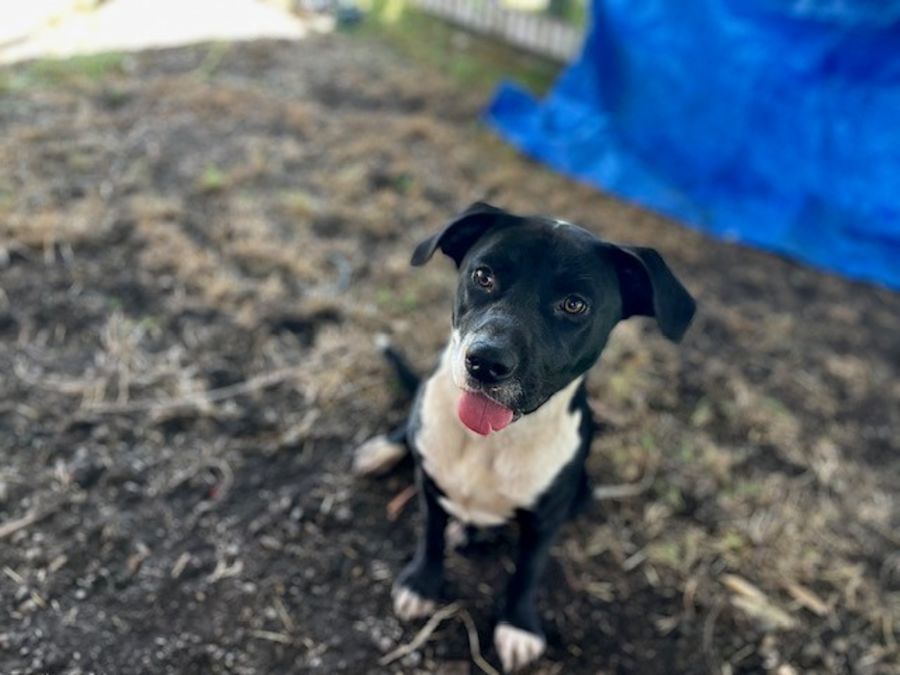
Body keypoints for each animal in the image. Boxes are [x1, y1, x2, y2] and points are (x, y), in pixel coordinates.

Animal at [354, 202, 696, 672]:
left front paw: (518, 626)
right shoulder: (431, 484)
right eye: (483, 276)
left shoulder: (545, 519)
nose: (485, 362)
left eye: (574, 304)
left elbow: (527, 571)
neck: (492, 441)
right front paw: (422, 584)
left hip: (583, 490)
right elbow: (431, 535)